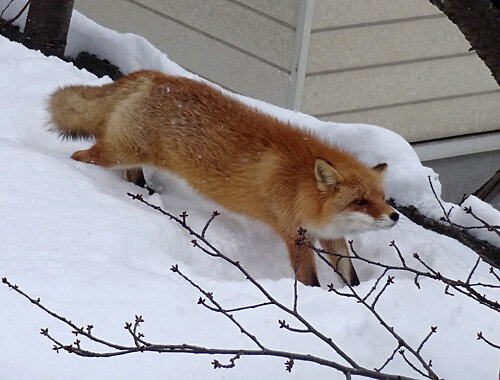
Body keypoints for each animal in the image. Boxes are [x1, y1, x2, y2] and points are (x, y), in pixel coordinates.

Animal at [48, 70, 400, 284]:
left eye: (383, 199)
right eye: (360, 201)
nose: (395, 216)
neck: (302, 188)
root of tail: (153, 75)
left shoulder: (330, 236)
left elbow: (350, 277)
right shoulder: (294, 235)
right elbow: (309, 281)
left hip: (133, 155)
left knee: (133, 173)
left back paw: (142, 192)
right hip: (116, 152)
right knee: (81, 156)